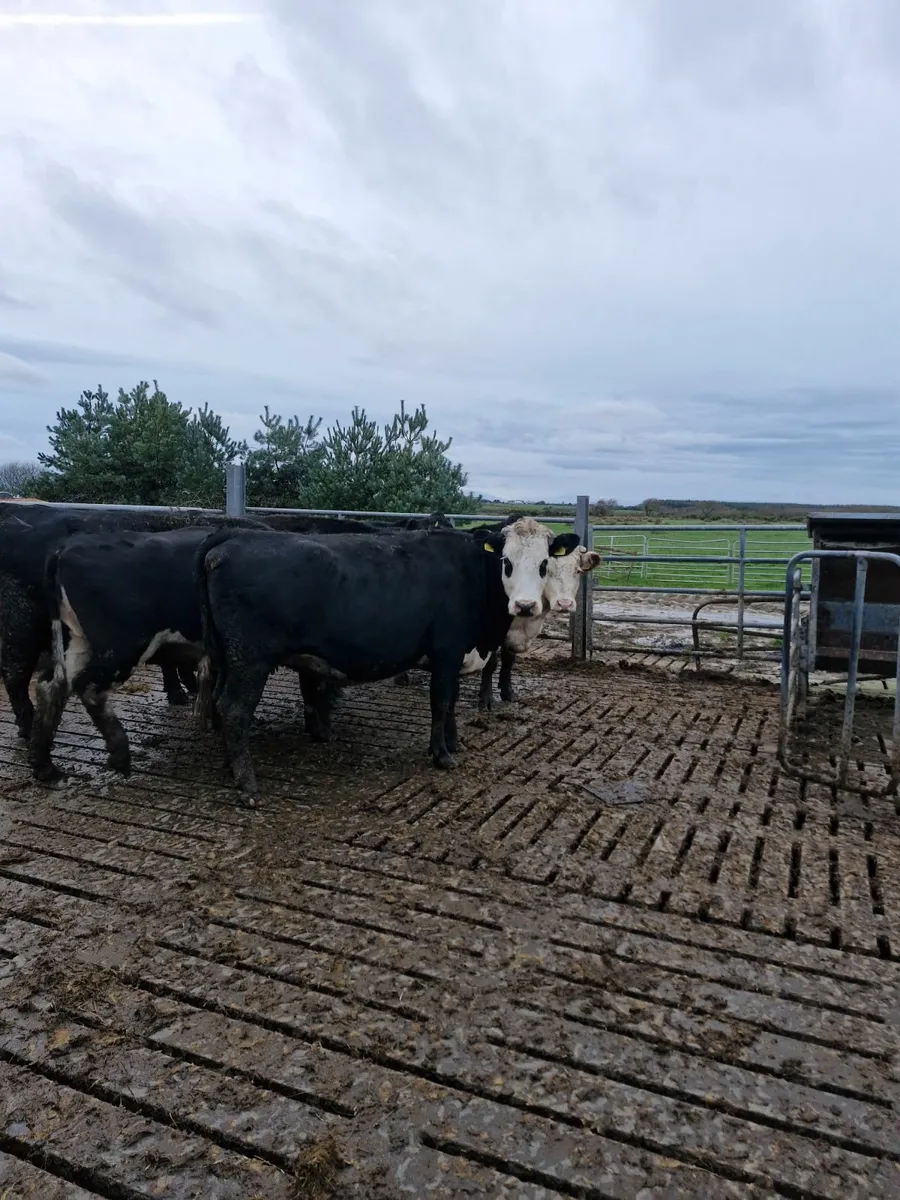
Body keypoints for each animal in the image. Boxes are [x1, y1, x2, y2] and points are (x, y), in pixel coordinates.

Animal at [193, 519, 576, 803]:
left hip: (228, 657)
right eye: (506, 562)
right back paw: (248, 785)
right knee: (234, 709)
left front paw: (453, 742)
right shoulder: (447, 652)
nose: (524, 606)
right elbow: (441, 702)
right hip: (250, 660)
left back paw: (231, 767)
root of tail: (233, 538)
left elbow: (451, 704)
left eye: (544, 564)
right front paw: (441, 754)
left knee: (220, 702)